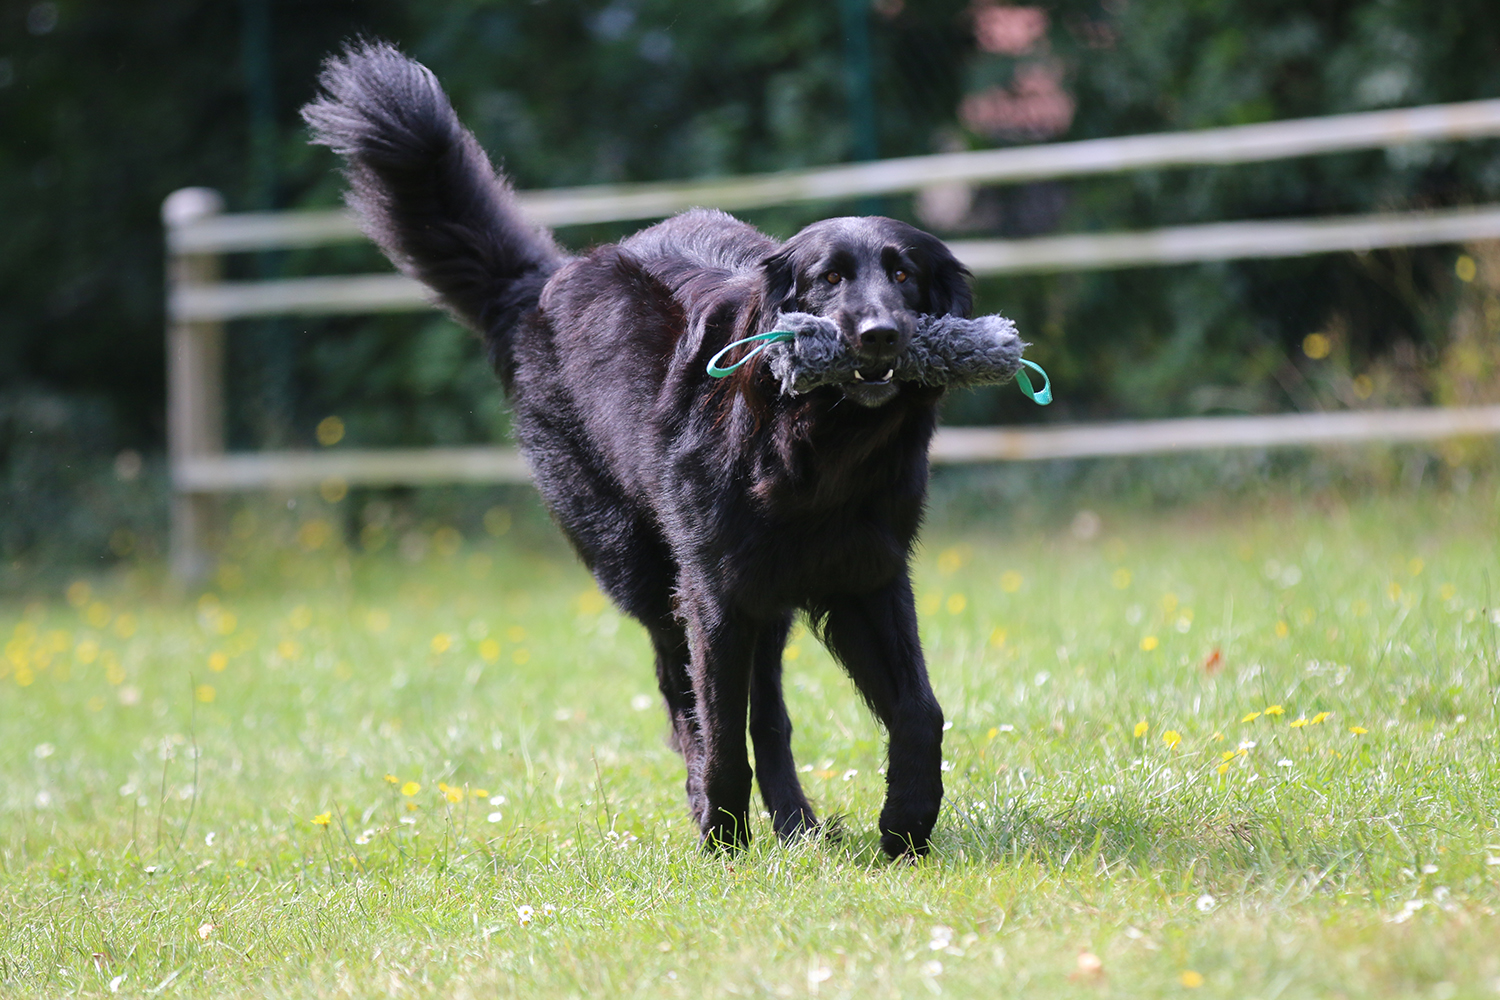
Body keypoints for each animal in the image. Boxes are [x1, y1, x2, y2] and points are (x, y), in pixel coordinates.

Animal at [304, 42, 973, 858]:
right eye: (828, 279)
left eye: (903, 272)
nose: (879, 336)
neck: (817, 448)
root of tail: (542, 283)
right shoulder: (712, 591)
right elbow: (716, 732)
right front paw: (720, 840)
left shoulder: (864, 573)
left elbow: (918, 710)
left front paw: (906, 821)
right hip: (647, 571)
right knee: (685, 697)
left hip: (759, 598)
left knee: (767, 715)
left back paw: (796, 827)